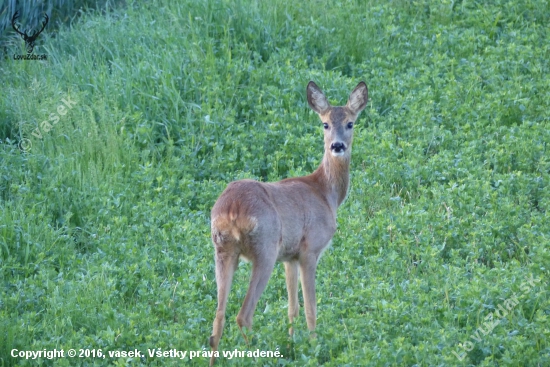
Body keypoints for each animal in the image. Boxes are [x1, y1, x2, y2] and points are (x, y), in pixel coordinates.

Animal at [209, 80, 368, 366]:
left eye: (350, 123)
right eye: (325, 124)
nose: (337, 146)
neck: (325, 192)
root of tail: (231, 210)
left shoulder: (289, 257)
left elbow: (292, 308)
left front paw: (292, 344)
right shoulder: (310, 249)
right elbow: (311, 308)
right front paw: (315, 348)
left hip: (223, 249)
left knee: (218, 318)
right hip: (265, 249)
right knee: (243, 314)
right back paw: (258, 355)